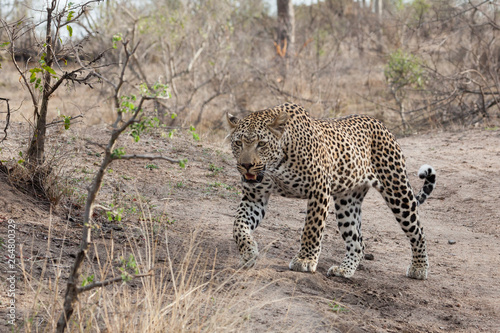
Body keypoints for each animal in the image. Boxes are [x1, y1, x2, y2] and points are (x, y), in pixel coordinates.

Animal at [225, 102, 436, 278]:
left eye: (261, 144)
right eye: (238, 143)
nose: (246, 165)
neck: (276, 166)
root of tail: (380, 124)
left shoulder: (318, 189)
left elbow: (312, 228)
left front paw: (304, 260)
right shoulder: (255, 197)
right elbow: (238, 225)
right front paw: (248, 252)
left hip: (397, 191)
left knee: (417, 230)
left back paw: (419, 268)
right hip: (347, 202)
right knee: (358, 242)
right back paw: (344, 270)